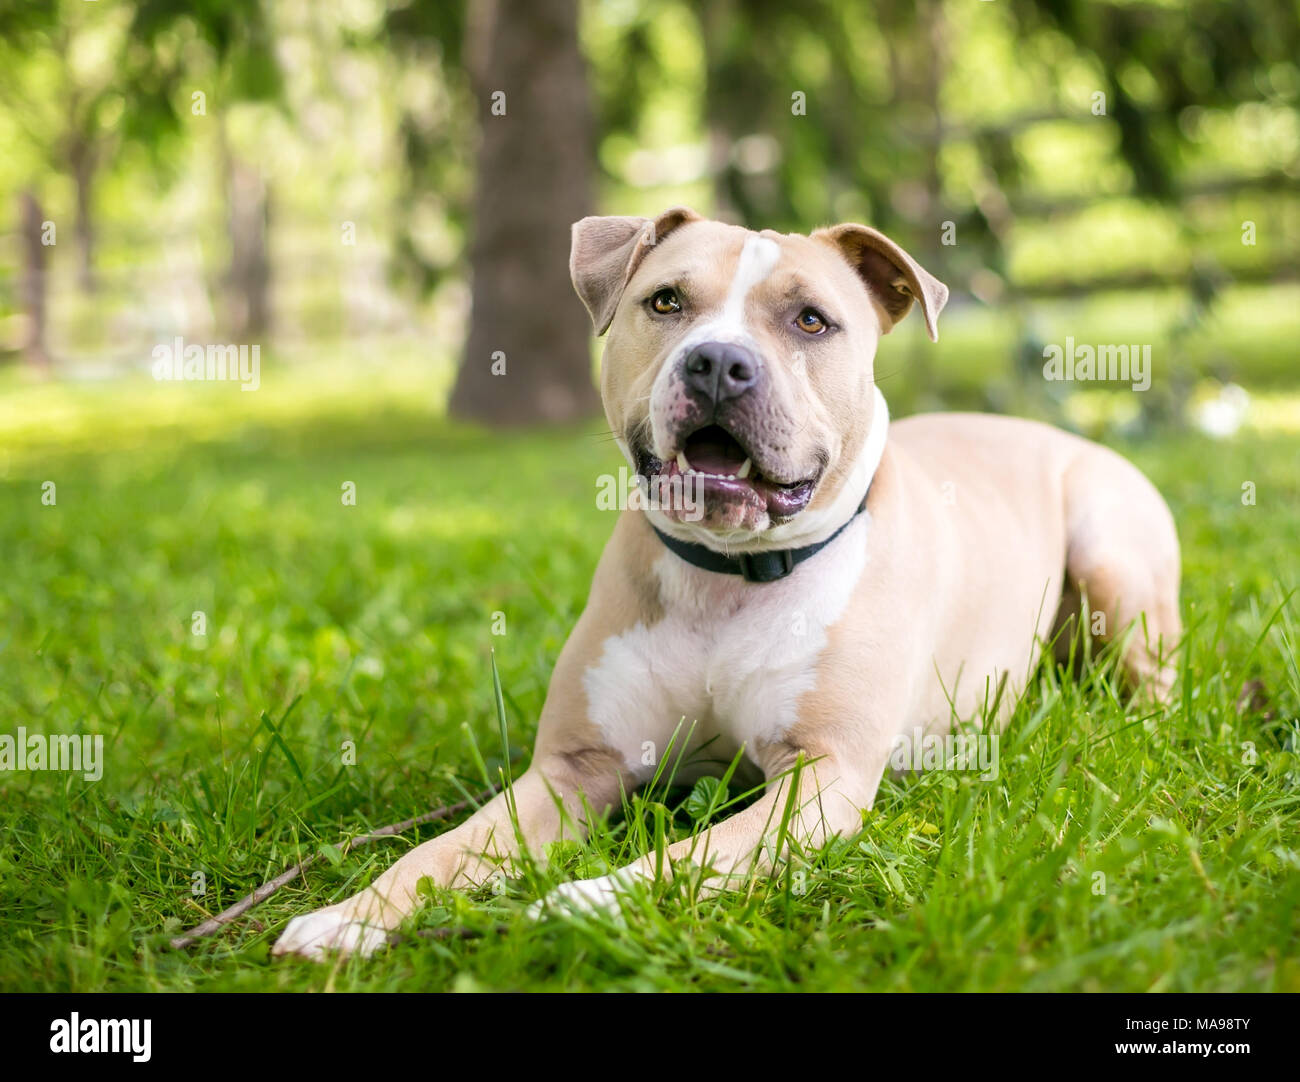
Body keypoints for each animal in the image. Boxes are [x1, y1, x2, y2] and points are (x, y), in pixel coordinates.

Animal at [271, 206, 1180, 957]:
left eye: (811, 319)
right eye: (667, 302)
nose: (716, 362)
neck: (731, 575)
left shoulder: (820, 781)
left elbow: (692, 854)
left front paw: (590, 901)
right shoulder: (570, 770)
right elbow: (440, 850)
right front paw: (349, 916)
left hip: (1111, 554)